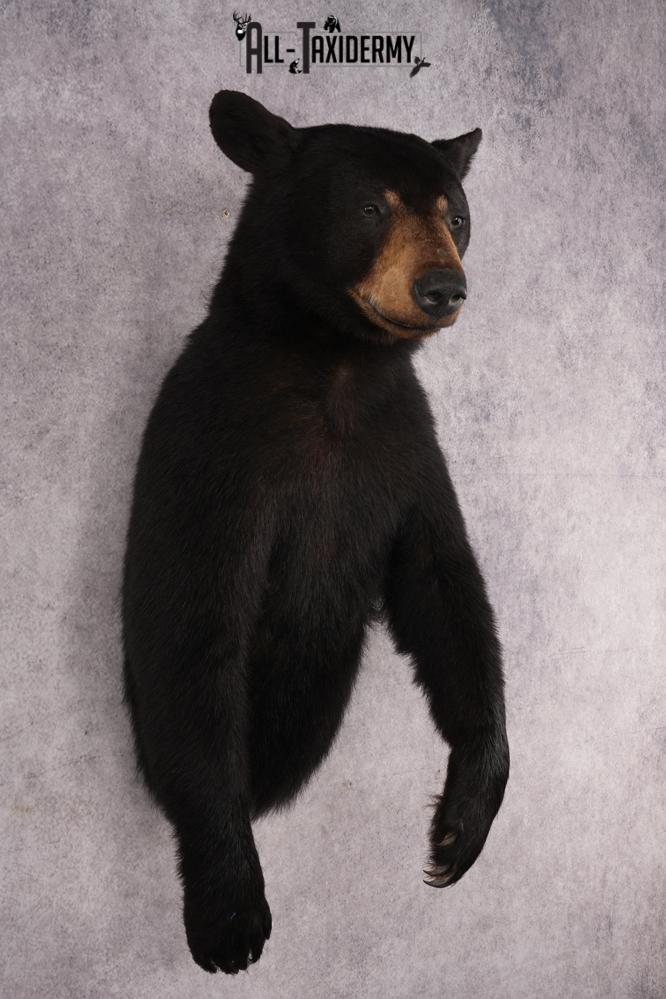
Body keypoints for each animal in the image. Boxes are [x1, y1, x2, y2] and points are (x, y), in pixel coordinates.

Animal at [121, 90, 510, 976]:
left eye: (457, 215)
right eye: (371, 207)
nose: (444, 287)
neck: (336, 367)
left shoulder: (405, 446)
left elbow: (446, 585)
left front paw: (462, 820)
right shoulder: (221, 447)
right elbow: (195, 619)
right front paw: (229, 909)